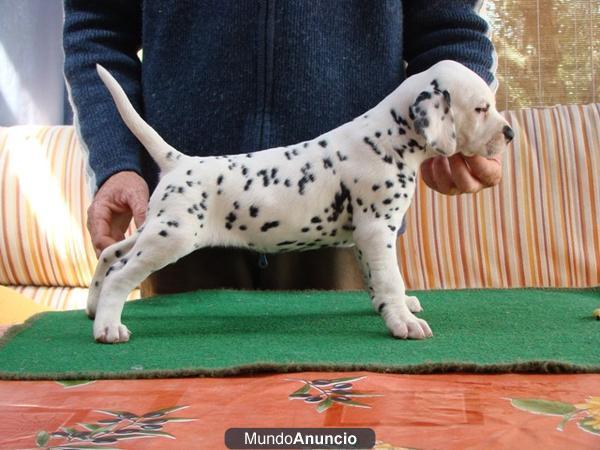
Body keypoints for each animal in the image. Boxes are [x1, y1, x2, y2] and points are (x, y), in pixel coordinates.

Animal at [91, 59, 512, 342]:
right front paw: (403, 322)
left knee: (110, 254)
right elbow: (390, 277)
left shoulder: (365, 238)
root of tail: (179, 162)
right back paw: (108, 326)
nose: (509, 133)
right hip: (171, 238)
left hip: (156, 228)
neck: (388, 136)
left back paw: (93, 308)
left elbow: (377, 280)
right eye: (481, 108)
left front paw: (393, 307)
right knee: (119, 275)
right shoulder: (378, 230)